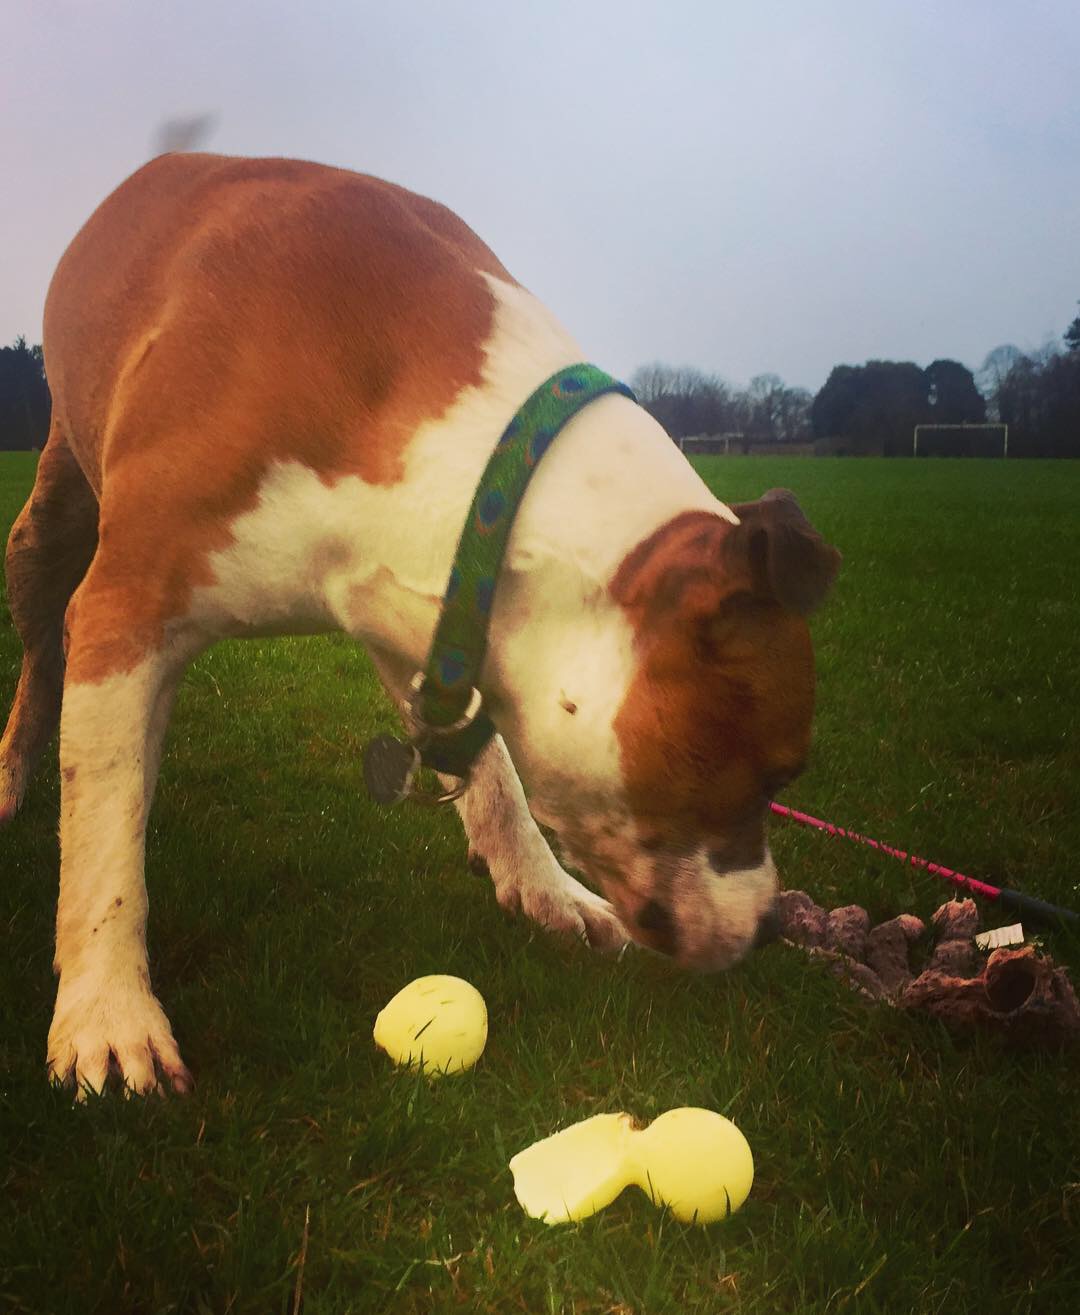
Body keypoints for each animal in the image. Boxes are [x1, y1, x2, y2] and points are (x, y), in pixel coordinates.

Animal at [0, 153, 840, 1095]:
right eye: (774, 775)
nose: (770, 925)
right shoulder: (128, 608)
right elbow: (105, 839)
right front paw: (109, 1014)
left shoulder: (428, 618)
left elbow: (496, 772)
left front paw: (542, 885)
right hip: (49, 525)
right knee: (42, 660)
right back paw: (12, 777)